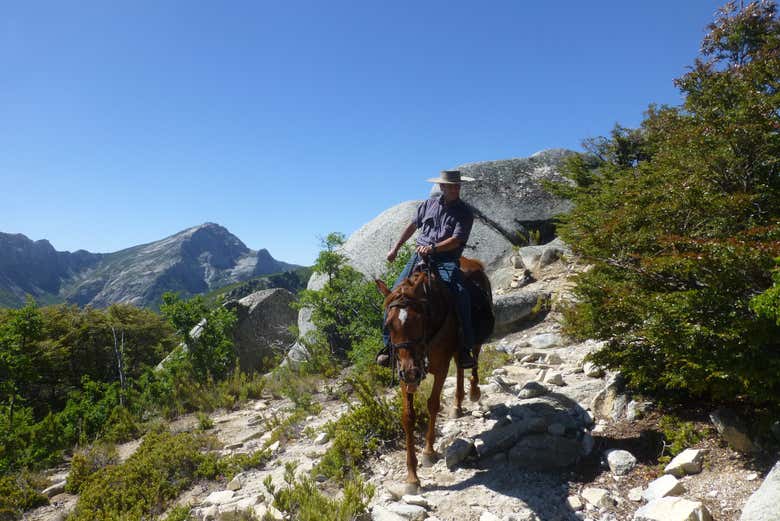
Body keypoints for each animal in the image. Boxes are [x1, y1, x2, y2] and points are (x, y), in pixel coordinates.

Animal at [374, 256, 494, 492]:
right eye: (388, 324)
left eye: (419, 319)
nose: (411, 372)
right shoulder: (403, 376)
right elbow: (408, 416)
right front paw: (412, 477)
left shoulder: (440, 368)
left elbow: (433, 404)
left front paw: (428, 452)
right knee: (460, 366)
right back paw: (457, 405)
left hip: (473, 339)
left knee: (473, 359)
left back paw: (474, 392)